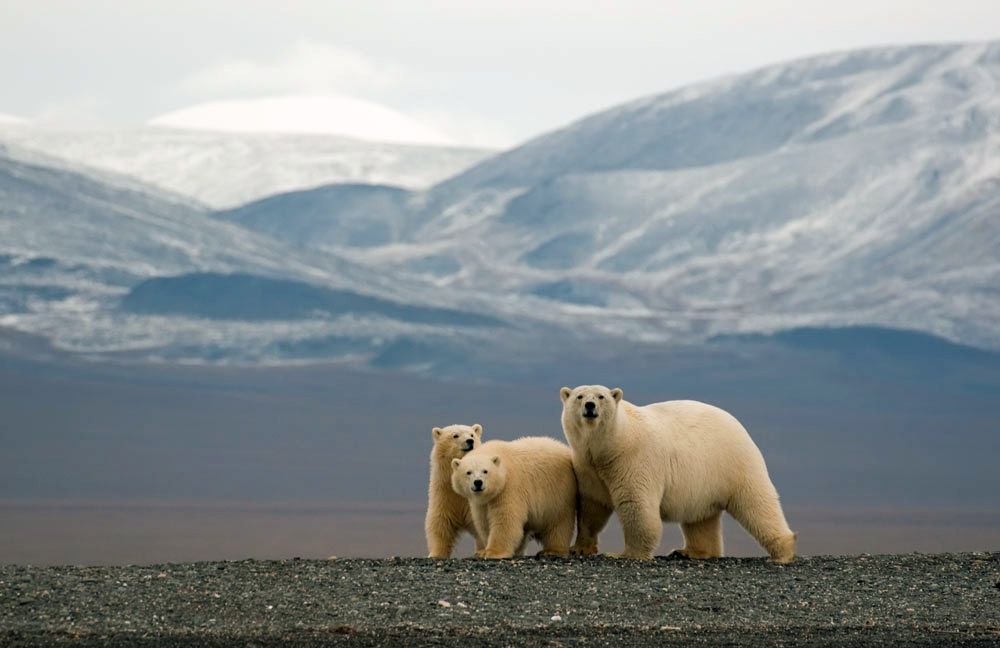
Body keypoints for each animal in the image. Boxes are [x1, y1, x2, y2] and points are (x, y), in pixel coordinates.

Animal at [422, 426, 484, 556]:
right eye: (455, 435)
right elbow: (439, 524)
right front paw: (435, 553)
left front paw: (481, 551)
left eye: (472, 434)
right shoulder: (444, 495)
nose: (470, 441)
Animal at [564, 384, 796, 560]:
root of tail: (739, 426)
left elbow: (637, 505)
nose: (590, 406)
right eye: (579, 396)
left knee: (757, 504)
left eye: (601, 396)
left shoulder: (633, 460)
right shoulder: (588, 467)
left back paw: (783, 552)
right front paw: (580, 548)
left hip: (734, 463)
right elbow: (592, 505)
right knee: (701, 519)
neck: (614, 443)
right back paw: (689, 551)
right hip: (704, 482)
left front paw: (625, 554)